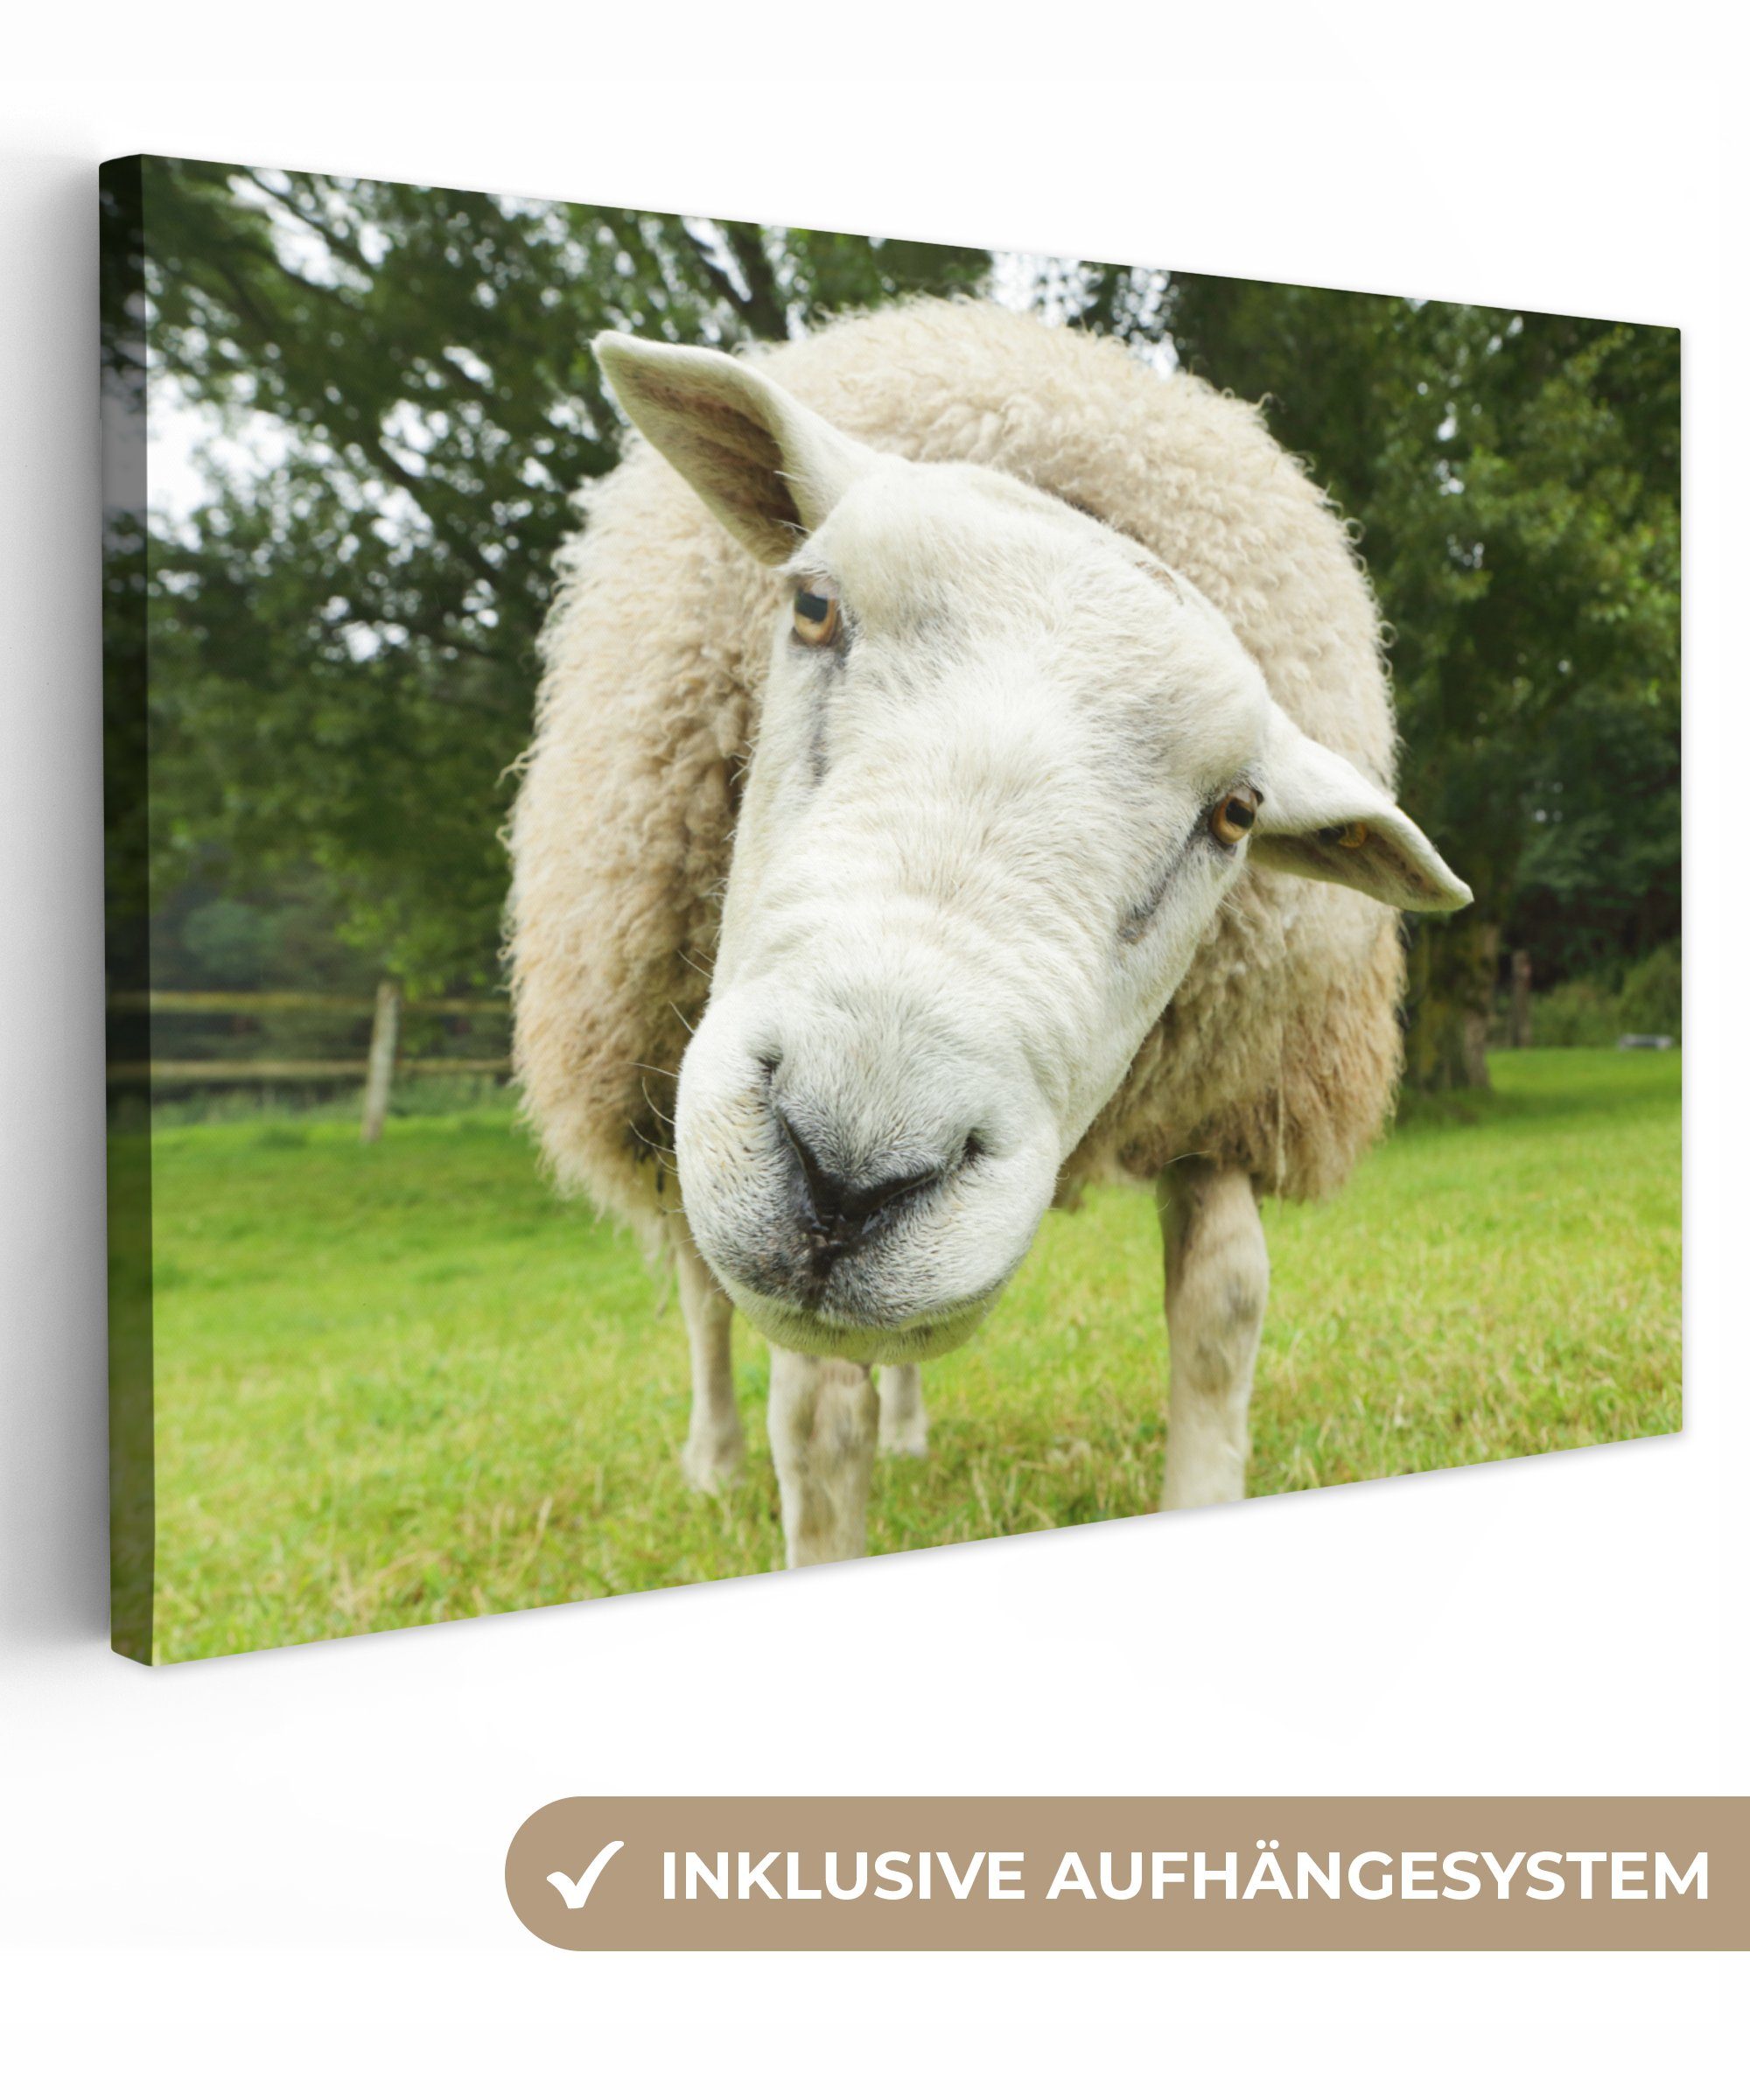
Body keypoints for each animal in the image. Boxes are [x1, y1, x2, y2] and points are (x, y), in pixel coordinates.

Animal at [508, 298, 1470, 1570]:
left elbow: (1223, 1309)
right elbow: (811, 1418)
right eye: (813, 608)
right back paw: (712, 1460)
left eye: (1236, 812)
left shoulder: (1226, 1090)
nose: (852, 1174)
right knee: (701, 1288)